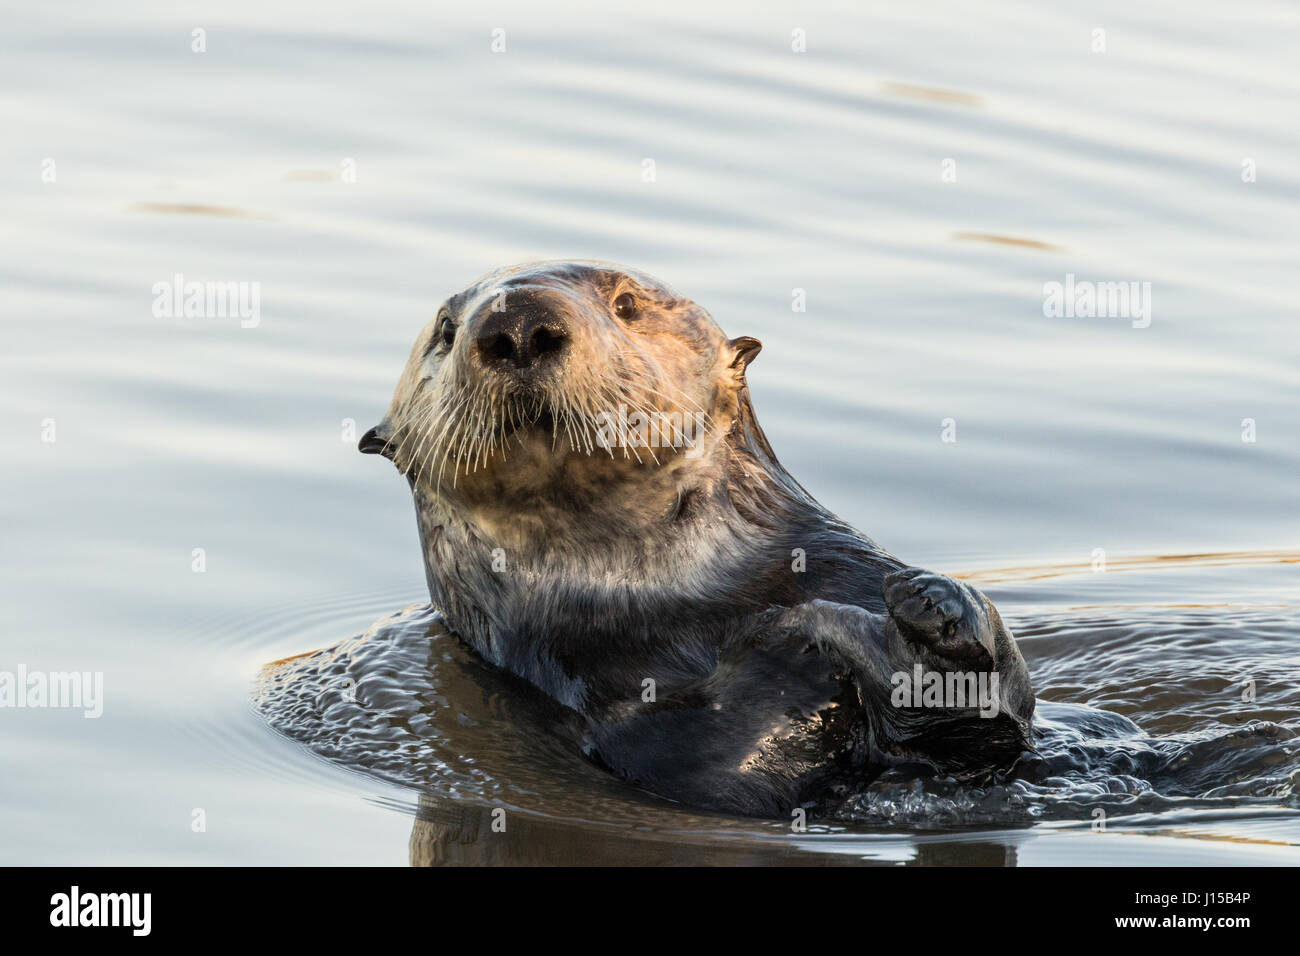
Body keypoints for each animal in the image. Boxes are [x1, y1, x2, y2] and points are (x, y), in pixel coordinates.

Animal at [358, 264, 1034, 822]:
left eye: (626, 303)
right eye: (445, 329)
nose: (518, 324)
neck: (681, 598)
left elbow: (1011, 718)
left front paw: (936, 602)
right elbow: (700, 762)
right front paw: (805, 630)